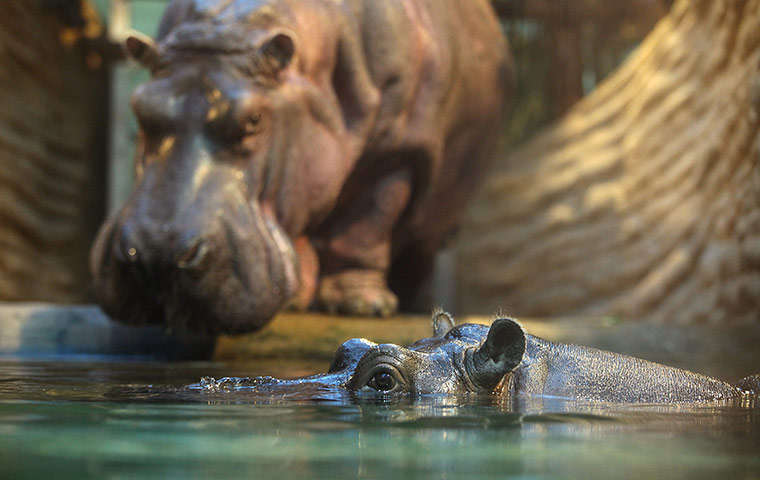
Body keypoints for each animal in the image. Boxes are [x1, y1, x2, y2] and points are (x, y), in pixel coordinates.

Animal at [90, 0, 512, 334]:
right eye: (138, 106)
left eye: (254, 119)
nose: (156, 256)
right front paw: (299, 300)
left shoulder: (397, 154)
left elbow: (365, 226)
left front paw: (360, 307)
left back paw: (407, 305)